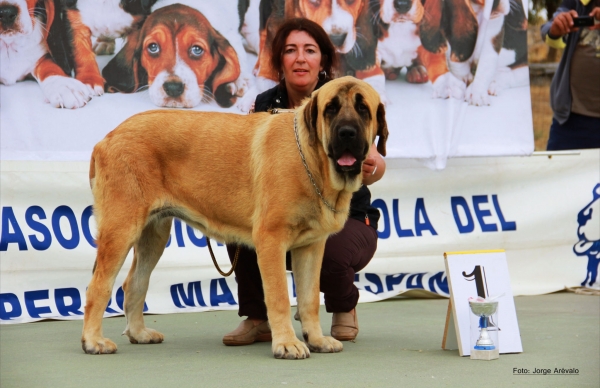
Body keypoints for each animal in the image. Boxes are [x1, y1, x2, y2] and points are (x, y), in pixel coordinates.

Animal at [82, 76, 386, 360]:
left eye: (363, 108)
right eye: (330, 108)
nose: (346, 133)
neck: (313, 162)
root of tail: (107, 137)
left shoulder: (311, 248)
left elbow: (310, 298)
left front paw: (317, 339)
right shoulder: (271, 241)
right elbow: (279, 296)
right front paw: (287, 343)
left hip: (153, 235)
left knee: (134, 283)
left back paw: (138, 333)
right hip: (121, 229)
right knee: (99, 286)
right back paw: (93, 341)